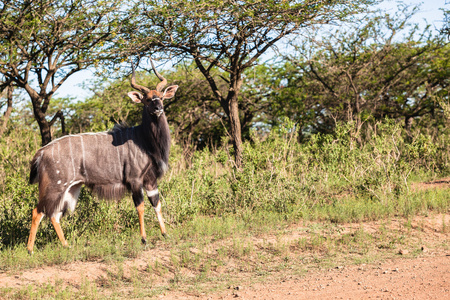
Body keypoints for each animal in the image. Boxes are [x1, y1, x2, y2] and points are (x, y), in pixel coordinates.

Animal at [25, 59, 178, 253]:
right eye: (147, 100)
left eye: (161, 97)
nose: (158, 109)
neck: (144, 141)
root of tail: (41, 153)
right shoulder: (135, 180)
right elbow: (141, 207)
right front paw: (144, 239)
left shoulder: (151, 181)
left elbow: (156, 203)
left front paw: (165, 234)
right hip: (53, 187)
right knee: (38, 212)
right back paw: (30, 250)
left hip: (70, 189)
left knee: (54, 214)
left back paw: (66, 245)